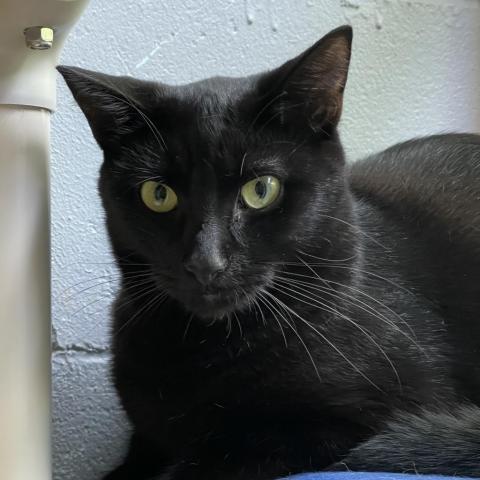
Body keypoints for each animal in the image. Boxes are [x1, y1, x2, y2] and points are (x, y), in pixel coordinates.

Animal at [57, 27, 480, 480]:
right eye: (158, 195)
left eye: (261, 189)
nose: (206, 262)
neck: (203, 347)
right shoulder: (147, 438)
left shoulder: (349, 422)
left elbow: (219, 454)